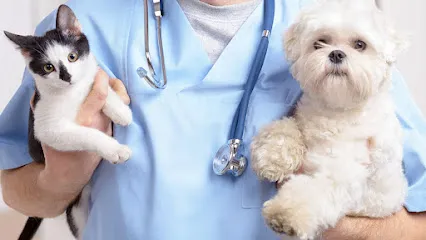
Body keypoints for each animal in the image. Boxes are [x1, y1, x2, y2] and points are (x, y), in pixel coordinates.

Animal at [4, 3, 132, 240]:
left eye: (72, 56)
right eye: (48, 67)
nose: (67, 77)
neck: (72, 92)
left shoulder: (91, 77)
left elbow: (97, 83)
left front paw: (120, 109)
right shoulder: (47, 127)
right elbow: (86, 134)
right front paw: (115, 149)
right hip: (77, 210)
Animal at [251, 0, 408, 239]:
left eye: (360, 44)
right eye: (320, 42)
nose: (336, 54)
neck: (336, 111)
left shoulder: (344, 174)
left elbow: (311, 192)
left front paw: (286, 213)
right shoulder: (302, 118)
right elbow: (285, 127)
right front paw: (273, 157)